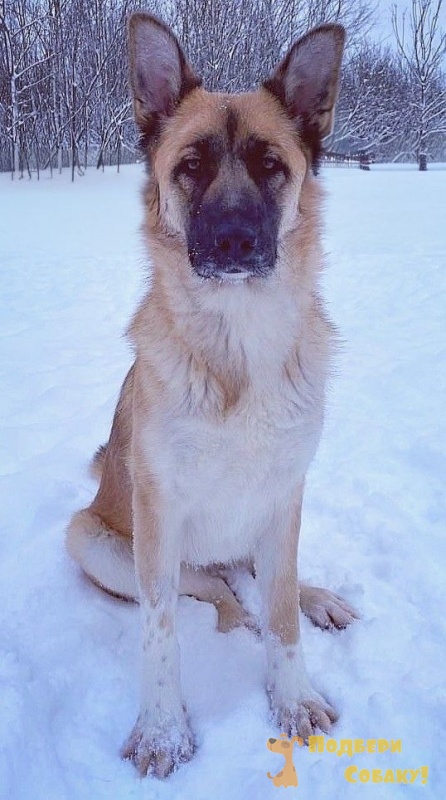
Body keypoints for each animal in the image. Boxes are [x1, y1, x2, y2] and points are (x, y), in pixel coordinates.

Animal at [66, 12, 358, 778]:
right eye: (191, 166)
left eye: (270, 164)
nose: (232, 239)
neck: (238, 347)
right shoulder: (160, 513)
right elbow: (162, 630)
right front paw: (164, 731)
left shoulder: (285, 496)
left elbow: (283, 616)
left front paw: (294, 697)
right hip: (96, 541)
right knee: (221, 593)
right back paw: (233, 615)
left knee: (265, 582)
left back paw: (319, 598)